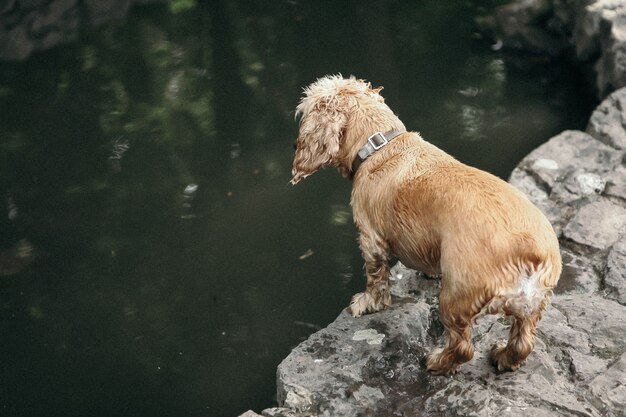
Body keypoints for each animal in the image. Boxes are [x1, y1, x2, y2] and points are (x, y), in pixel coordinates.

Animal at [288, 75, 560, 374]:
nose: (294, 146)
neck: (380, 146)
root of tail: (531, 250)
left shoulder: (371, 238)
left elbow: (376, 278)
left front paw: (366, 303)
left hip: (454, 300)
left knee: (463, 348)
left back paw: (436, 362)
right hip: (533, 307)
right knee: (523, 343)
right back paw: (502, 355)